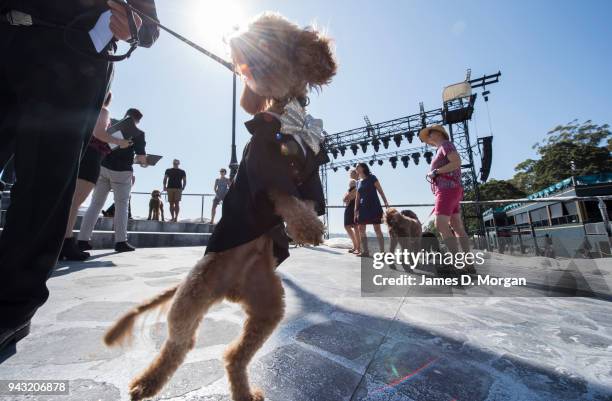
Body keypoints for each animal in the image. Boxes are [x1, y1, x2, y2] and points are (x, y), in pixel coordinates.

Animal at [103, 12, 338, 400]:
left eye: (272, 40)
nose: (247, 66)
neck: (287, 117)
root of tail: (232, 288)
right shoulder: (265, 172)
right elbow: (285, 197)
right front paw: (306, 228)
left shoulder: (310, 173)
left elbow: (303, 199)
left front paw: (307, 227)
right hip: (191, 300)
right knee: (178, 346)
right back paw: (145, 384)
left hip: (269, 307)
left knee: (232, 356)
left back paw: (243, 391)